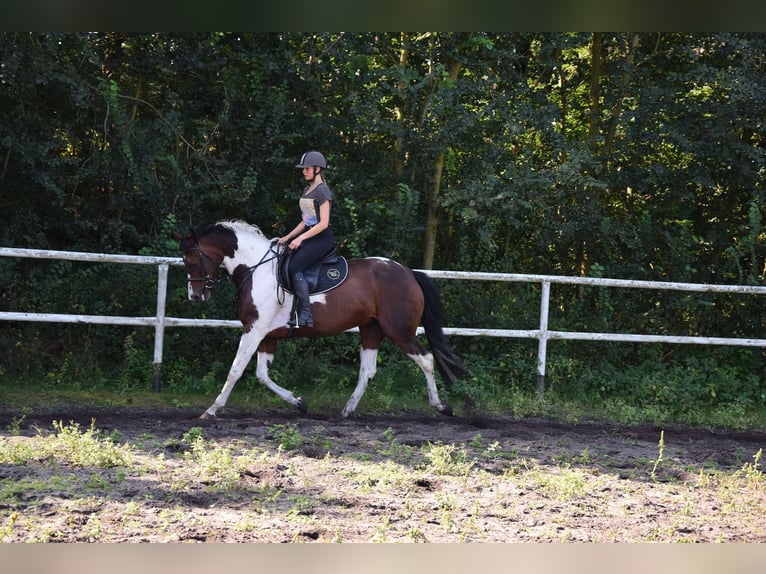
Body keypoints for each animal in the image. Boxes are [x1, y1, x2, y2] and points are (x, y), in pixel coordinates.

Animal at [172, 220, 468, 419]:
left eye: (191, 259)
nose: (195, 296)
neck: (257, 269)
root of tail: (408, 272)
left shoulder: (254, 330)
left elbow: (236, 370)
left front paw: (212, 410)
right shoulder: (267, 335)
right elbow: (262, 375)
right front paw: (299, 402)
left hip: (399, 330)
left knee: (426, 360)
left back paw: (442, 406)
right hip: (371, 329)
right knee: (367, 370)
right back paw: (346, 410)